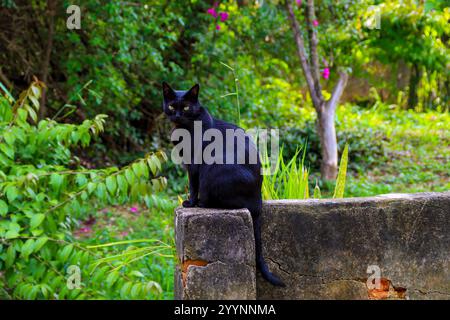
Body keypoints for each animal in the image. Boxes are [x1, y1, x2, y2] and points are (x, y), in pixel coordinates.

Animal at [163, 81, 284, 286]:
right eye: (172, 106)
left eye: (186, 107)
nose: (177, 115)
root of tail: (258, 200)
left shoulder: (194, 164)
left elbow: (192, 185)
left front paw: (189, 203)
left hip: (214, 170)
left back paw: (202, 203)